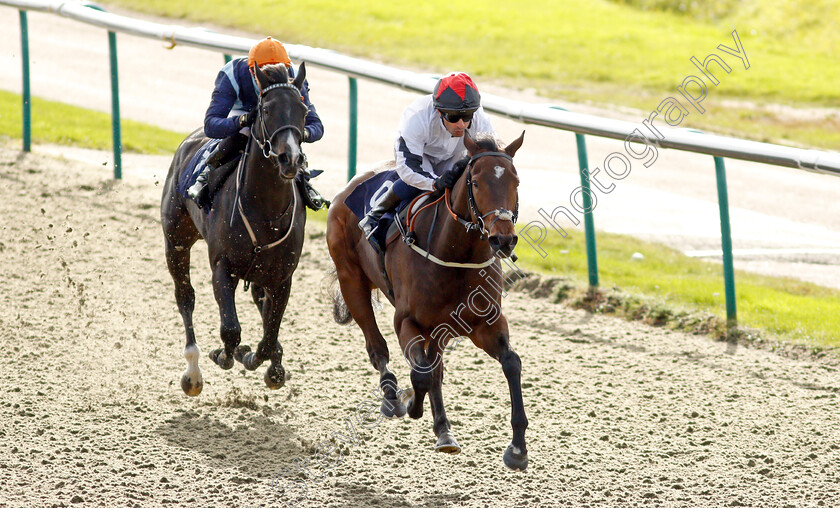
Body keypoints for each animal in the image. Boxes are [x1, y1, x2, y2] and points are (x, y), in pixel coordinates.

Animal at [160, 63, 308, 396]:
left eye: (304, 110)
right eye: (265, 110)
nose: (290, 159)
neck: (265, 210)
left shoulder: (282, 278)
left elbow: (268, 336)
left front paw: (265, 362)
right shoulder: (222, 267)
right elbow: (230, 329)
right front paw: (225, 354)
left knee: (260, 305)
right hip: (176, 240)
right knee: (185, 296)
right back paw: (193, 372)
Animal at [324, 132, 528, 472]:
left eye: (516, 180)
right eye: (475, 182)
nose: (503, 239)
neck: (456, 254)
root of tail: (348, 187)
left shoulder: (485, 322)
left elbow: (511, 362)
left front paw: (517, 448)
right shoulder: (408, 321)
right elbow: (420, 374)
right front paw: (412, 406)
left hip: (440, 327)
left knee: (435, 367)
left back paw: (443, 430)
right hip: (351, 280)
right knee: (377, 347)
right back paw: (392, 397)